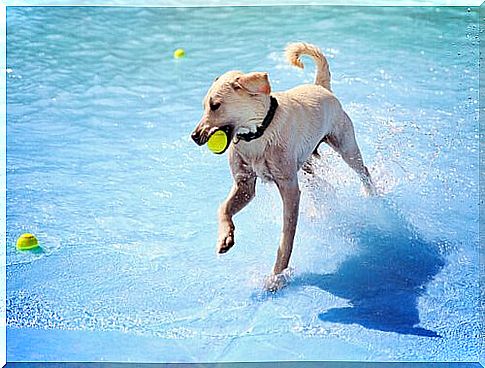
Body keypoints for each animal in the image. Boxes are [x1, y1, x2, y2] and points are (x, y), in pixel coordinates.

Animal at [190, 42, 374, 290]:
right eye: (204, 106)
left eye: (215, 105)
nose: (193, 136)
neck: (257, 134)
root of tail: (321, 86)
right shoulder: (244, 186)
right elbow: (223, 208)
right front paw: (225, 237)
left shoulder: (289, 189)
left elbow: (286, 237)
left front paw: (277, 276)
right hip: (306, 166)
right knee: (322, 185)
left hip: (346, 147)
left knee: (363, 171)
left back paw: (372, 195)